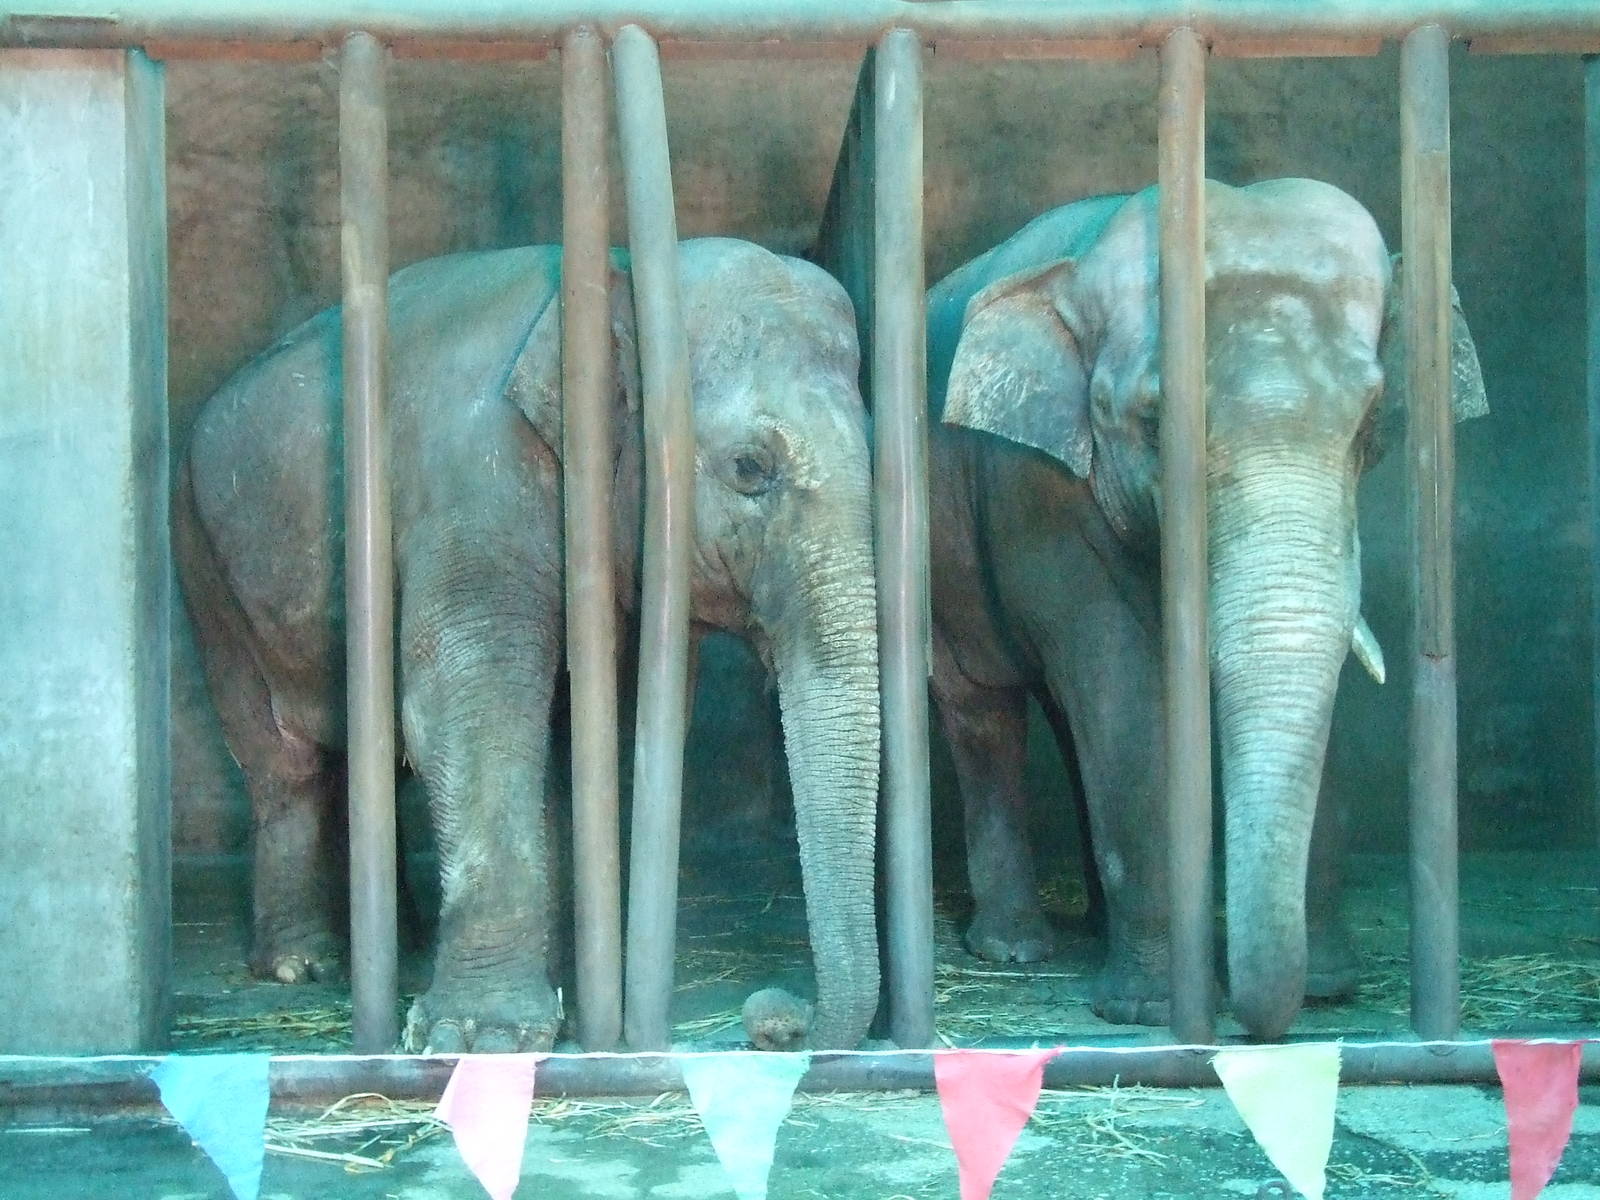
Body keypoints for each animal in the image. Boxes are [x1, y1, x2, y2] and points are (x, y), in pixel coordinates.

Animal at [175, 237, 882, 1052]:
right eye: (749, 468)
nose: (772, 1018)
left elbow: (603, 727)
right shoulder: (475, 478)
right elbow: (467, 701)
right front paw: (483, 1038)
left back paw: (396, 944)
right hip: (204, 564)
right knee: (278, 758)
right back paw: (303, 963)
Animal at [926, 178, 1485, 1038]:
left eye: (1370, 417)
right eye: (1155, 423)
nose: (1261, 1026)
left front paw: (1328, 991)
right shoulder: (1044, 492)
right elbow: (1125, 688)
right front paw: (1149, 1010)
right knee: (985, 708)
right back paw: (1014, 949)